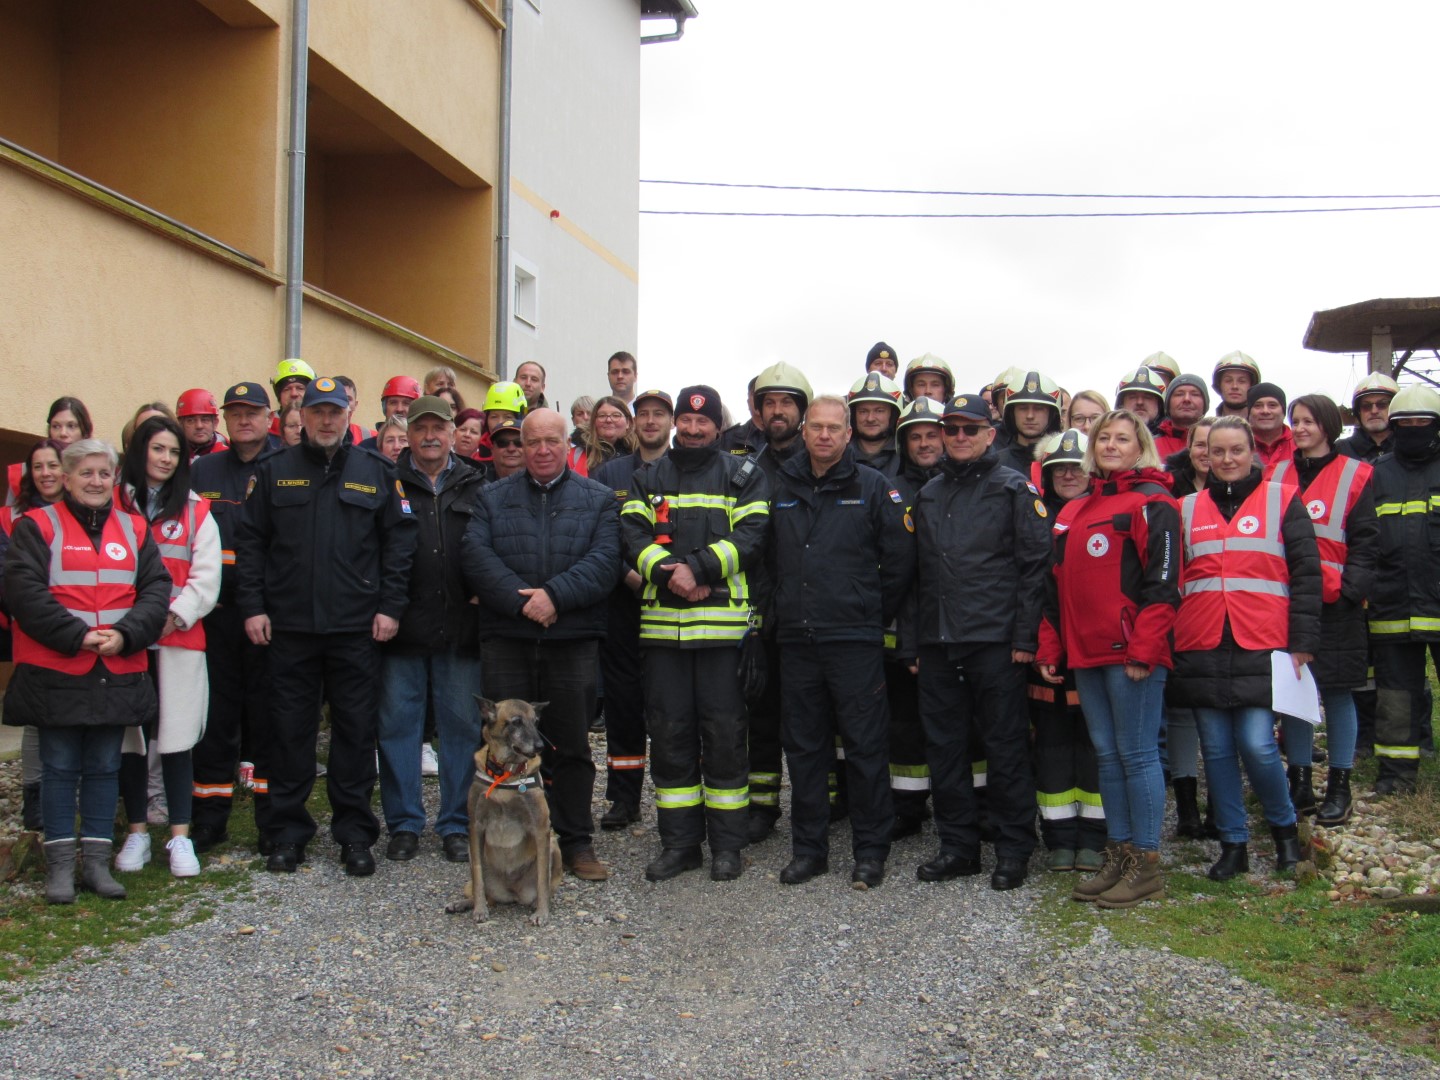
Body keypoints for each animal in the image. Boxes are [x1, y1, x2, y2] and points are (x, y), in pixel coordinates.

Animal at [443, 702, 561, 933]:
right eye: (516, 722)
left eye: (536, 721)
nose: (540, 746)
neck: (506, 774)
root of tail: (512, 891)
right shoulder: (476, 826)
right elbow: (477, 877)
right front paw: (479, 910)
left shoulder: (541, 828)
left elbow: (543, 879)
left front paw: (542, 913)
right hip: (473, 852)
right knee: (482, 890)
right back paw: (463, 903)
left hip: (553, 846)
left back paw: (536, 903)